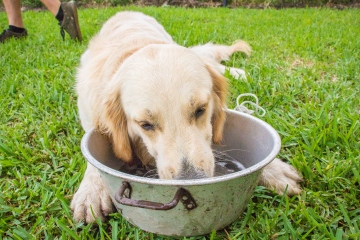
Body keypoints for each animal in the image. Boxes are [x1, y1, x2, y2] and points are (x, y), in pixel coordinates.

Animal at [71, 10, 302, 221]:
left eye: (200, 109)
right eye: (145, 124)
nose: (191, 179)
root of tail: (125, 11)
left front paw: (274, 169)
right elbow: (92, 163)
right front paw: (91, 192)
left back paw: (239, 72)